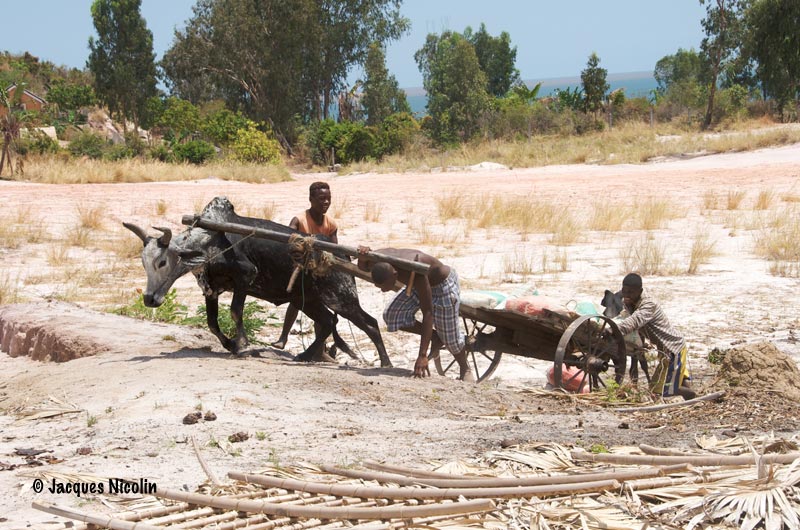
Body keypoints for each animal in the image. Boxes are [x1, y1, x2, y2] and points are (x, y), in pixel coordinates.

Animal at [123, 196, 391, 367]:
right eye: (144, 262)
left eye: (162, 262)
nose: (149, 299)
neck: (210, 241)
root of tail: (341, 254)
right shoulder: (211, 289)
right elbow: (212, 323)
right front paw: (231, 345)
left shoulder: (245, 277)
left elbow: (235, 312)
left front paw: (242, 345)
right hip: (309, 300)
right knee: (327, 323)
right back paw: (304, 356)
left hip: (341, 298)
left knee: (369, 323)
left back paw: (386, 363)